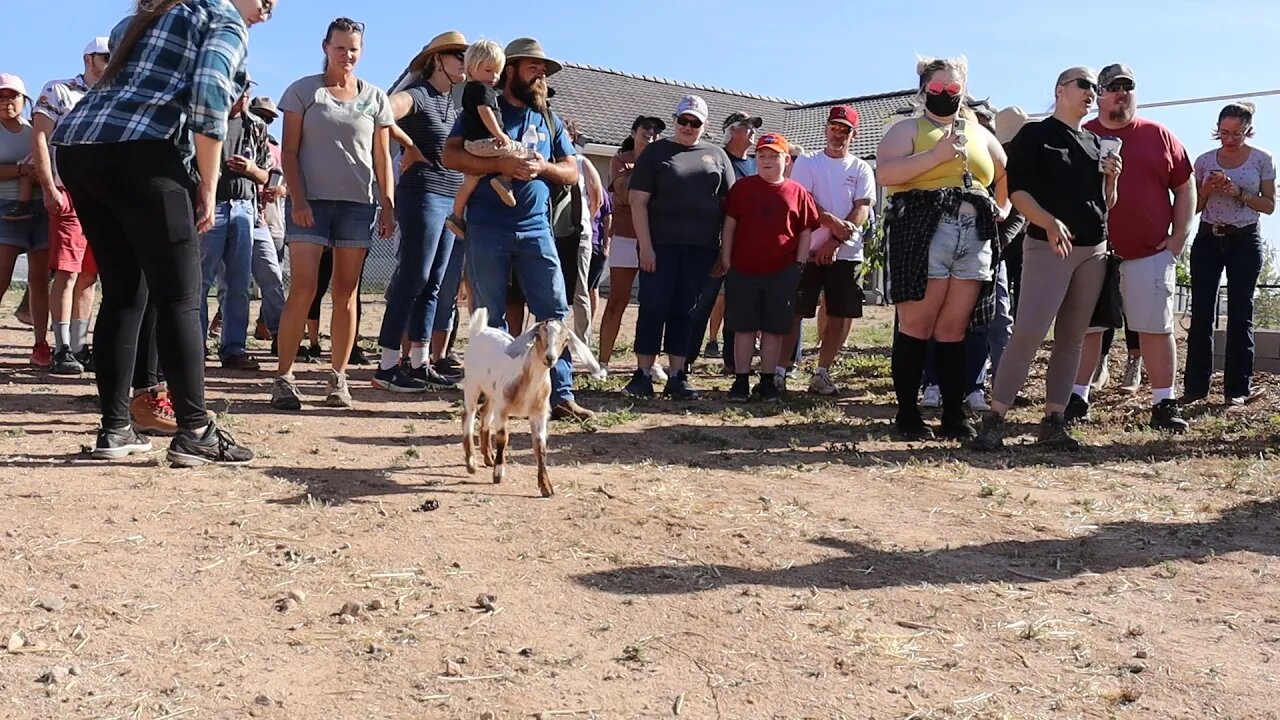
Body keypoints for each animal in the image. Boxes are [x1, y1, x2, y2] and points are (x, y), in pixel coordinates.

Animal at [460, 304, 604, 497]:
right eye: (539, 335)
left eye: (566, 340)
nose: (550, 358)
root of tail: (480, 330)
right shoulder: (503, 410)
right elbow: (503, 439)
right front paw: (498, 473)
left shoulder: (538, 414)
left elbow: (540, 447)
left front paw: (546, 487)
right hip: (472, 385)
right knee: (468, 418)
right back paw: (471, 463)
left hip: (493, 394)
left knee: (484, 414)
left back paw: (488, 457)